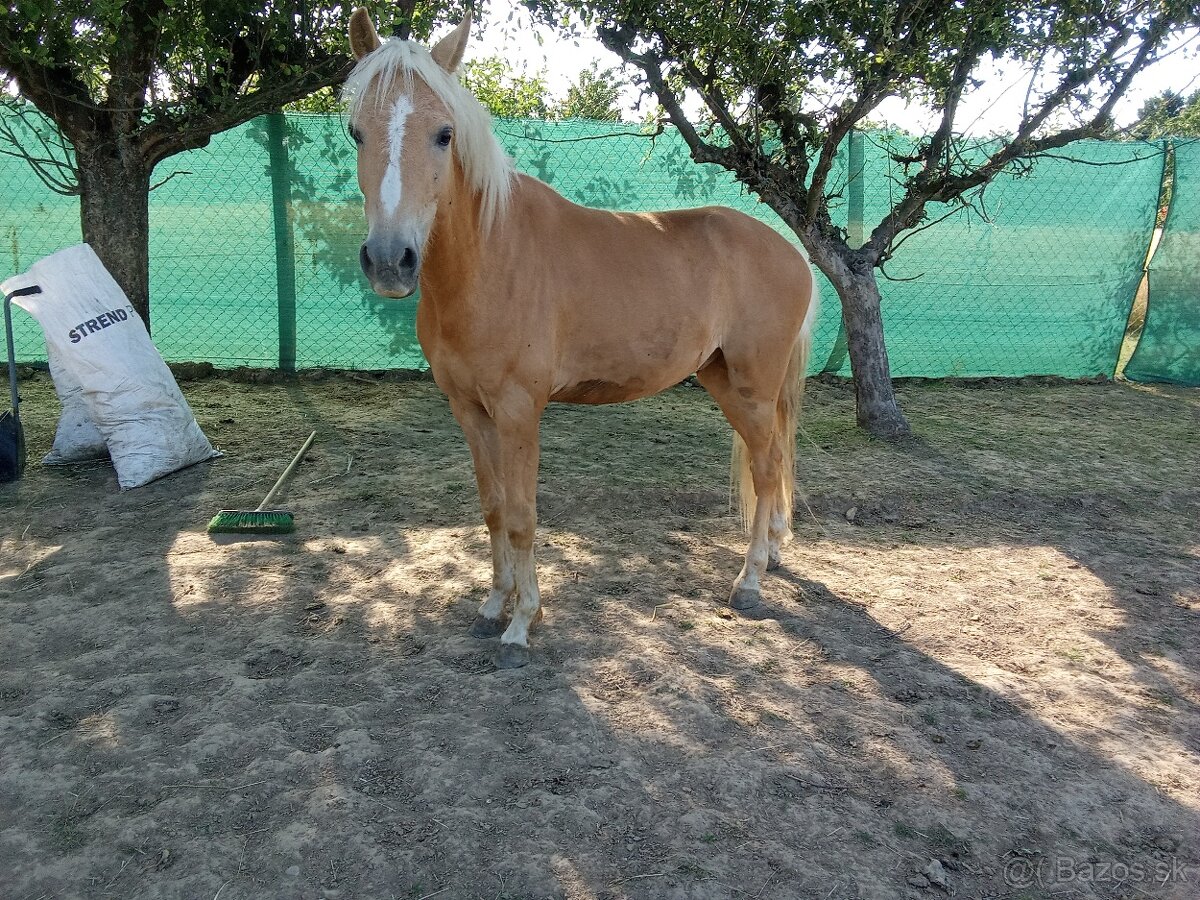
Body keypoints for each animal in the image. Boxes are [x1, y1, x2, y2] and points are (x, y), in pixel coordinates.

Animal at [344, 9, 818, 668]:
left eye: (443, 134)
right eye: (356, 133)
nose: (390, 261)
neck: (490, 258)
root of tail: (791, 251)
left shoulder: (519, 410)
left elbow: (522, 516)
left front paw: (522, 624)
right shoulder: (468, 410)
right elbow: (493, 508)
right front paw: (493, 605)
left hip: (752, 387)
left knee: (770, 466)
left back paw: (748, 581)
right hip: (723, 381)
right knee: (766, 463)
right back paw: (771, 553)